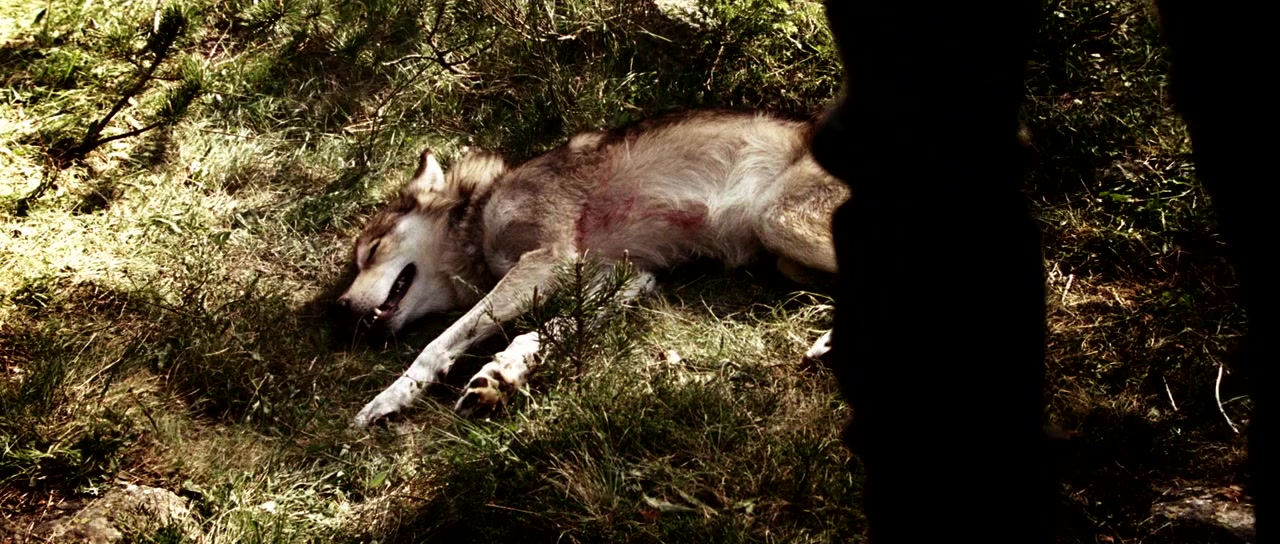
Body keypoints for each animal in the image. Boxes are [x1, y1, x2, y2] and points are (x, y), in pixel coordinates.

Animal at [338, 109, 849, 428]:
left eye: (371, 251)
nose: (341, 308)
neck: (477, 217)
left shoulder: (547, 260)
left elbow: (437, 344)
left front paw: (390, 397)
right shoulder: (627, 278)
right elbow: (544, 332)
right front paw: (502, 375)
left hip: (778, 223)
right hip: (788, 259)